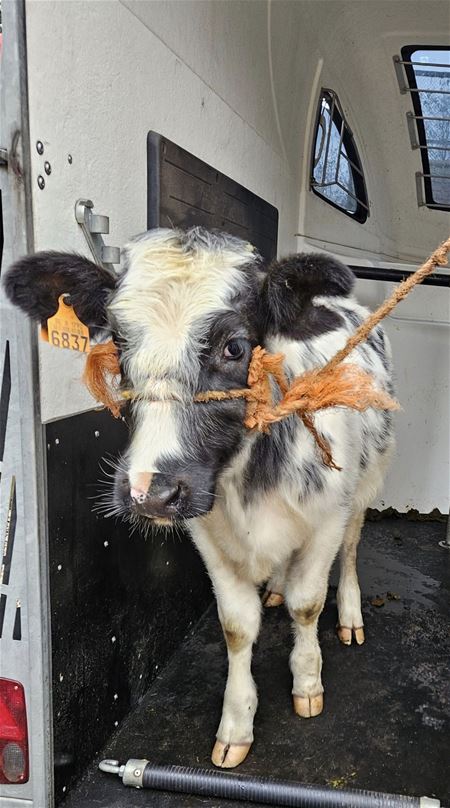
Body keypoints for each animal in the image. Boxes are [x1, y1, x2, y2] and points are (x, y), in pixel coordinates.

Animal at [4, 227, 395, 768]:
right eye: (118, 342)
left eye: (234, 346)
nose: (150, 492)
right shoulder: (208, 530)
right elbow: (237, 625)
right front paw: (236, 724)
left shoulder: (326, 517)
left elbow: (308, 605)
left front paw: (307, 683)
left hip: (367, 479)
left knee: (354, 547)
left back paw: (352, 615)